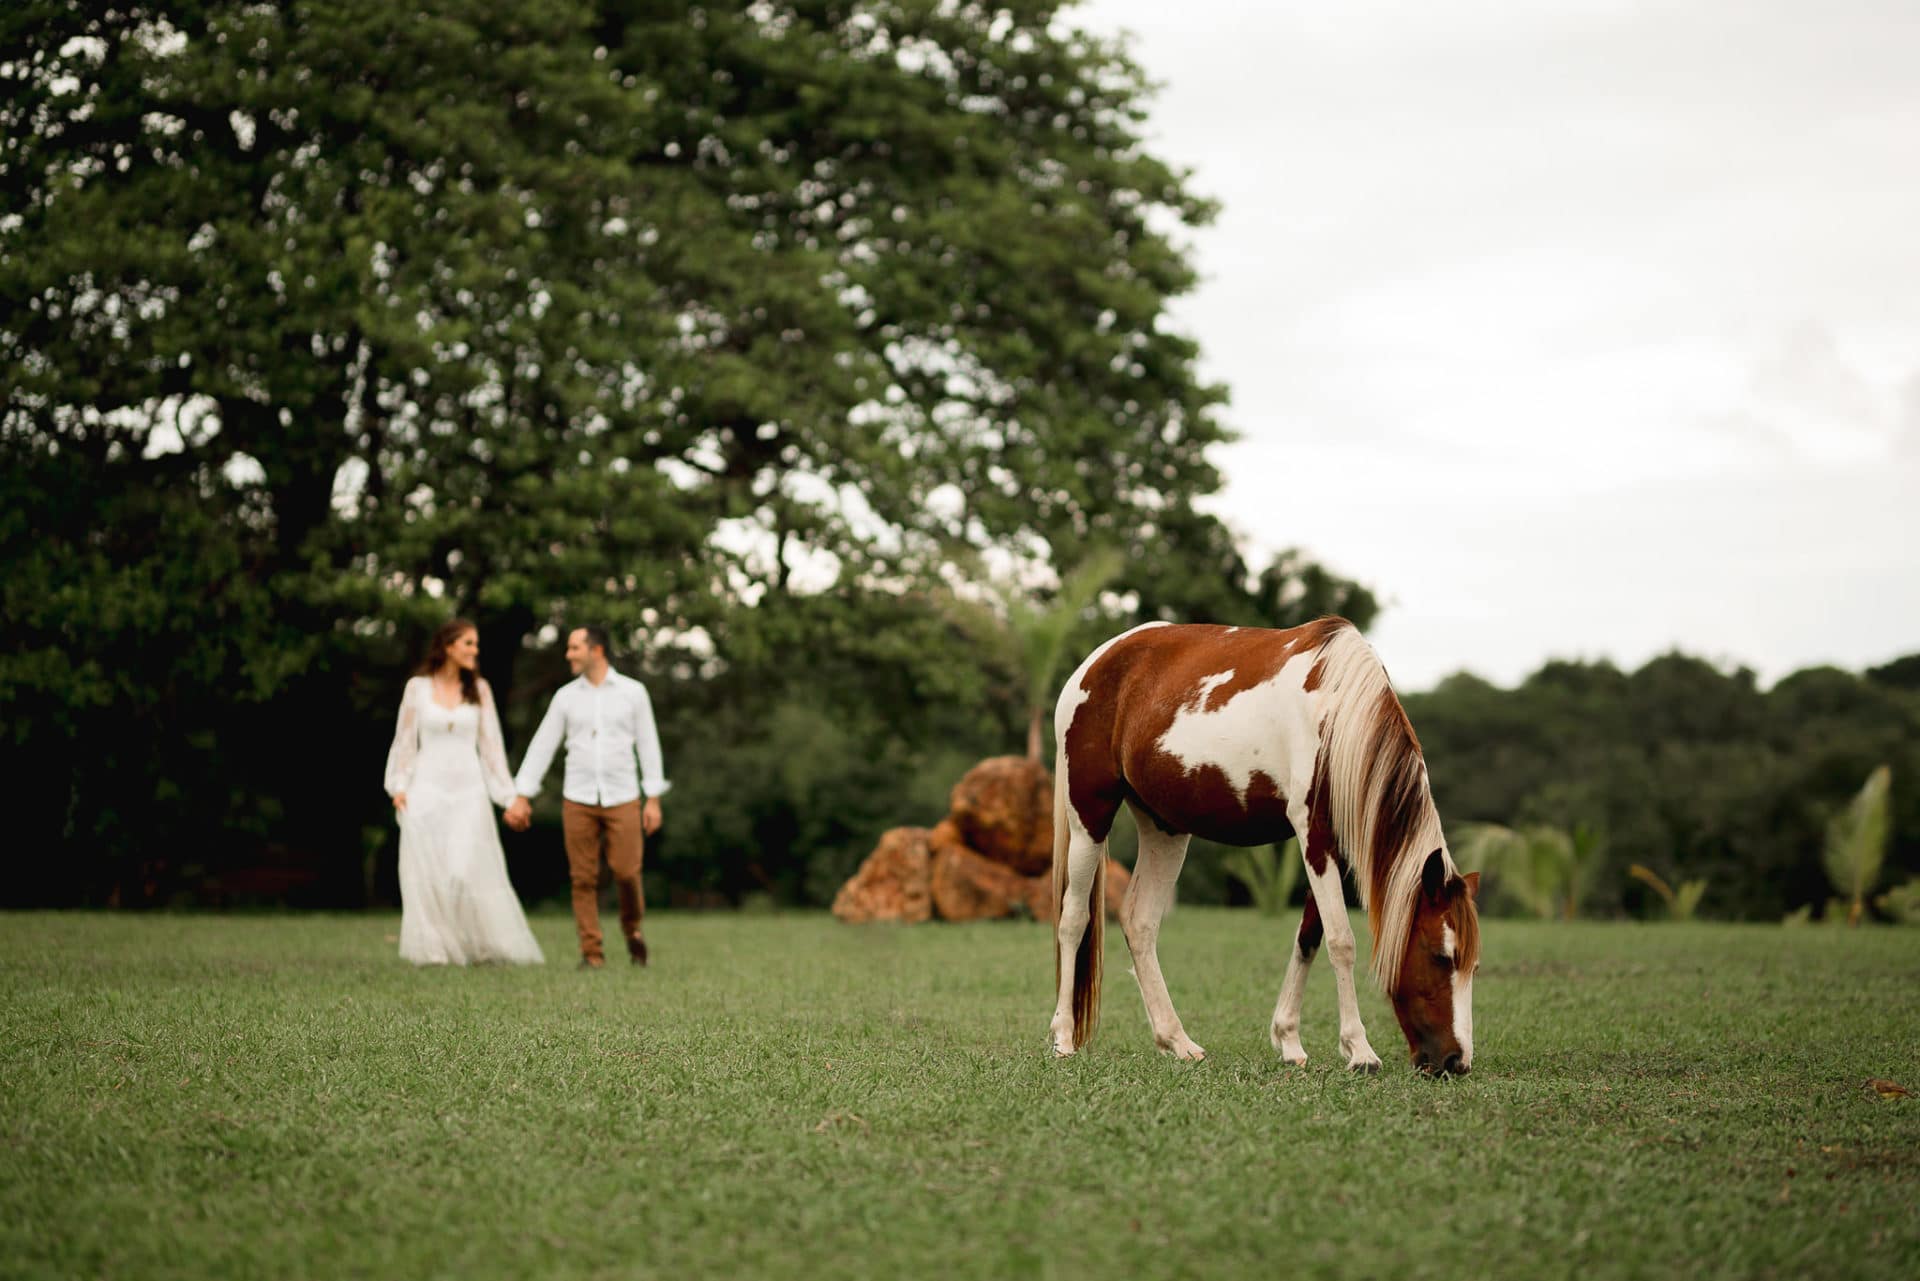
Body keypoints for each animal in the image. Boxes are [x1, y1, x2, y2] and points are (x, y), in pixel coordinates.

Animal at [1052, 618, 1482, 1075]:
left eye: (1473, 964)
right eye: (1441, 956)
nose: (1456, 1060)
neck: (1337, 708)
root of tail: (1096, 662)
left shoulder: (1333, 846)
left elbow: (1309, 937)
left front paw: (1289, 1039)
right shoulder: (1314, 832)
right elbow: (1341, 941)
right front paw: (1359, 1049)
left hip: (1164, 829)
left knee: (1139, 922)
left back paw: (1177, 1041)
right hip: (1089, 818)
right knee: (1073, 919)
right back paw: (1063, 1038)